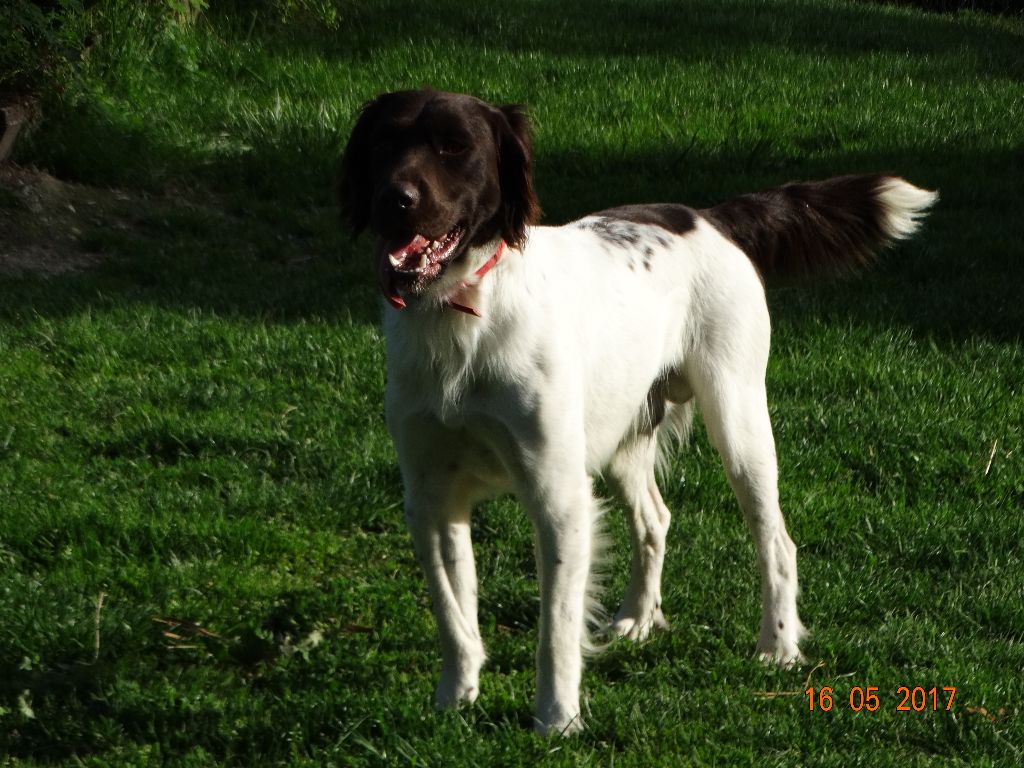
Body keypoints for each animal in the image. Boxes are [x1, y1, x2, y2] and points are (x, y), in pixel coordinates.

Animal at [337, 88, 936, 735]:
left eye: (455, 147)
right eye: (385, 141)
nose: (394, 199)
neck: (462, 311)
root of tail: (708, 216)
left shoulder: (557, 496)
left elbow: (556, 628)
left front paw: (557, 720)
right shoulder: (430, 495)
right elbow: (454, 614)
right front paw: (457, 696)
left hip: (739, 423)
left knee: (777, 540)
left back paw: (777, 646)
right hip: (622, 437)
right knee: (655, 518)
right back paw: (641, 618)